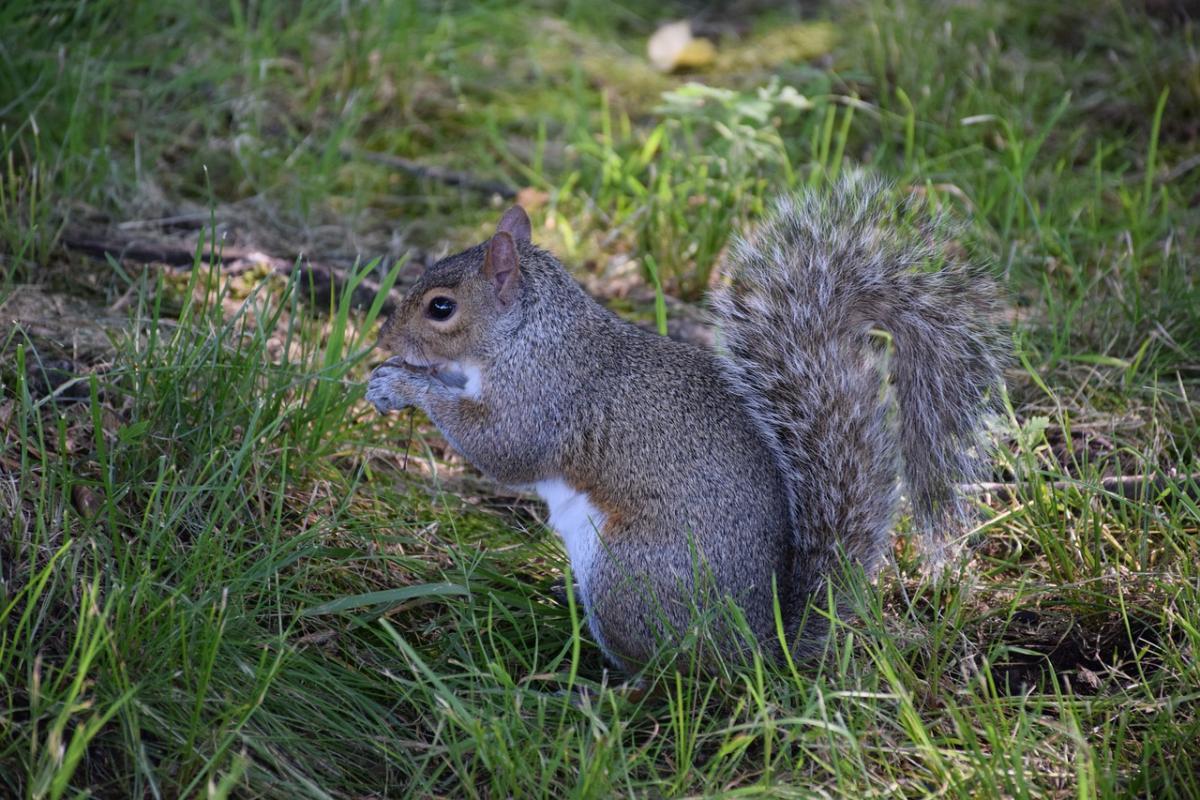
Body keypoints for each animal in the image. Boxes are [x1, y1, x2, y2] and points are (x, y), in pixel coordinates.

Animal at [364, 176, 1003, 676]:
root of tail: (757, 648)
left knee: (670, 674)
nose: (382, 337)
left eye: (441, 307)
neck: (529, 333)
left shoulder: (543, 398)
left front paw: (403, 385)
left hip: (626, 580)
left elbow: (501, 449)